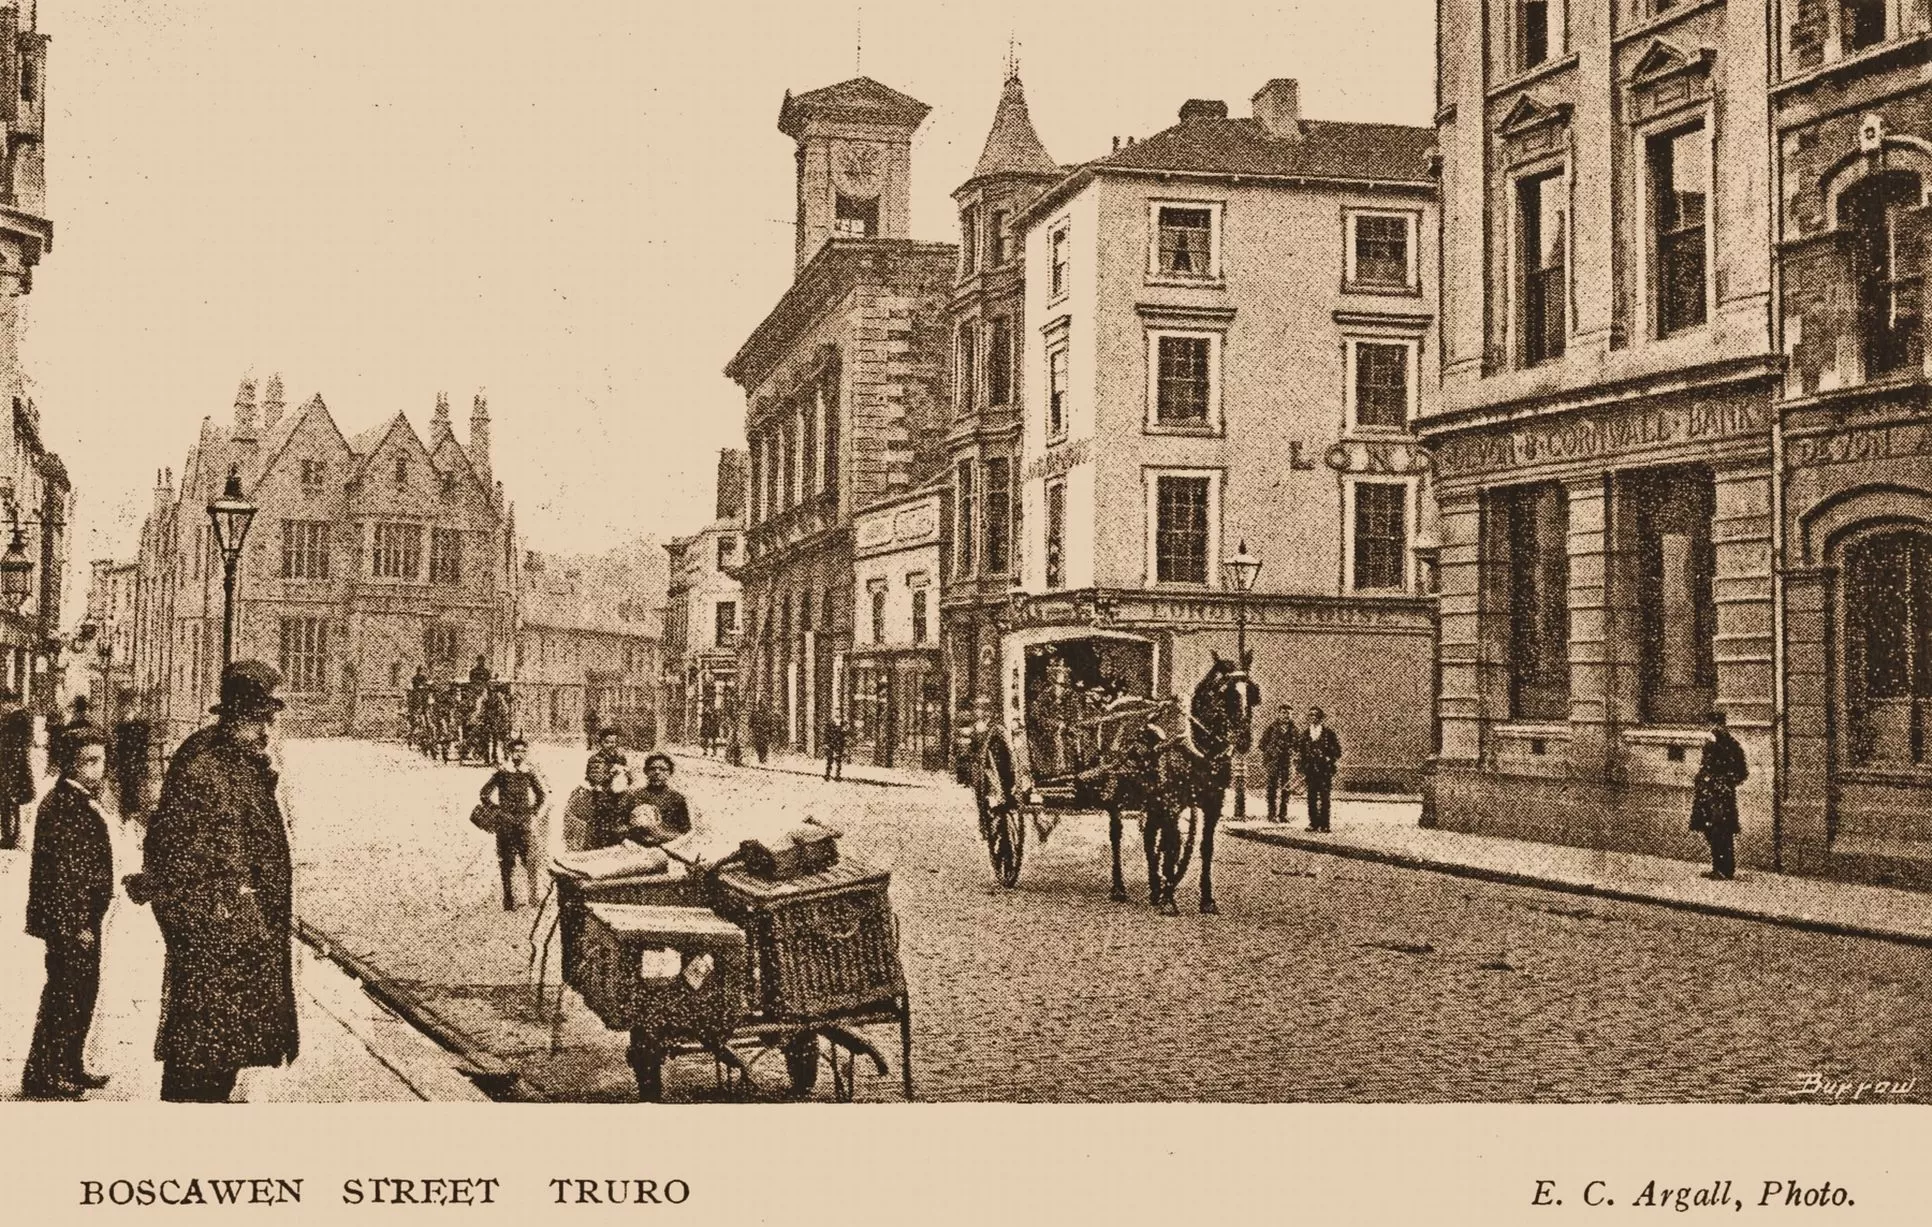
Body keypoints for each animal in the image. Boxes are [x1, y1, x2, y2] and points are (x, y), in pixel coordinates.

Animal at [1105, 653, 1267, 912]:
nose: (1243, 739)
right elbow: (1172, 844)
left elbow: (1205, 847)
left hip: (1152, 799)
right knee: (1116, 834)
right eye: (1225, 693)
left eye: (1252, 693)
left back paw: (1155, 887)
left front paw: (1206, 899)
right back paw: (1120, 887)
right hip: (1118, 793)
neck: (1199, 748)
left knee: (1149, 836)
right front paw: (1169, 900)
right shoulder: (1172, 802)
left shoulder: (1212, 804)